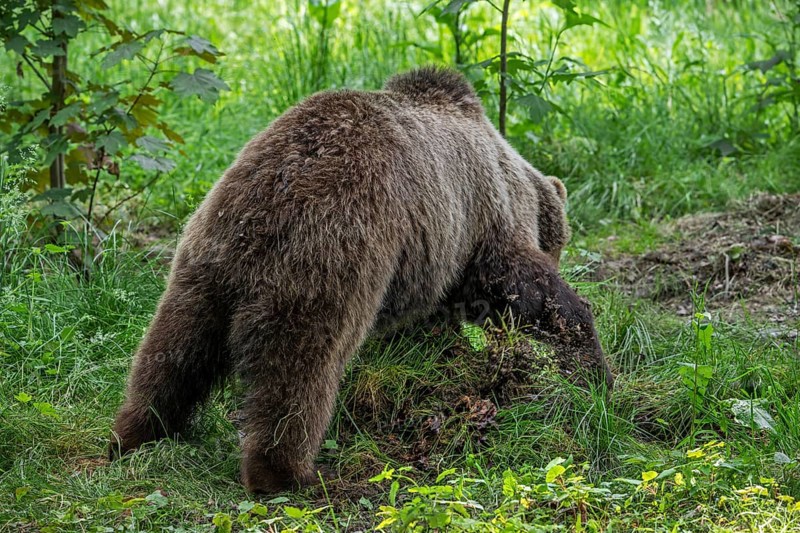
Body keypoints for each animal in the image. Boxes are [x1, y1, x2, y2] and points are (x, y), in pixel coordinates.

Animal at [108, 66, 614, 494]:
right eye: (560, 240)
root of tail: (269, 197)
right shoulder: (482, 218)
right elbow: (527, 290)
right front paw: (594, 368)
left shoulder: (435, 255)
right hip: (335, 252)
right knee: (300, 370)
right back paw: (288, 473)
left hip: (205, 258)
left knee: (174, 349)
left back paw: (138, 431)